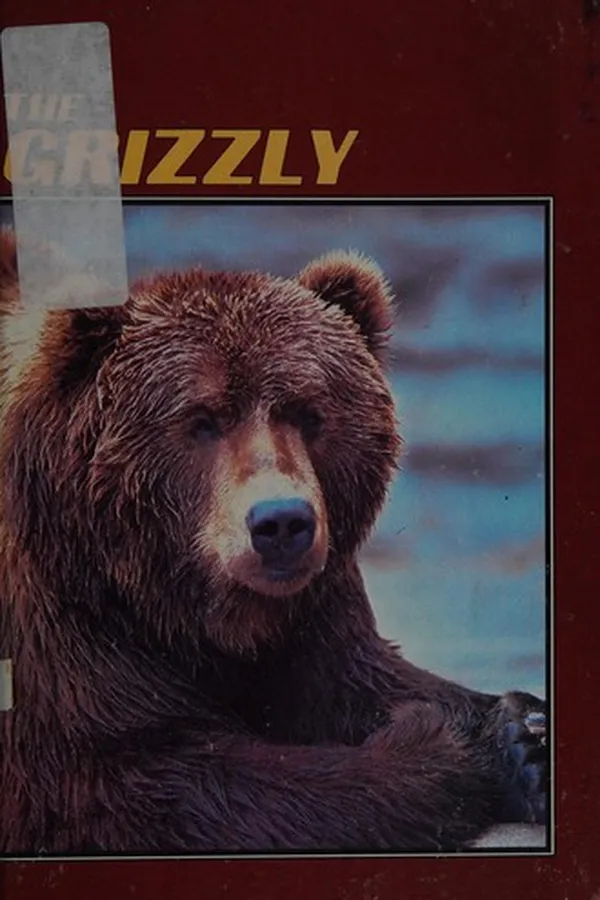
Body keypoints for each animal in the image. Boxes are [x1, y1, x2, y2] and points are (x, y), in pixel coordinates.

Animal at [0, 226, 547, 855]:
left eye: (309, 412)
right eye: (201, 420)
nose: (281, 522)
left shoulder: (311, 607)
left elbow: (355, 677)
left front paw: (524, 731)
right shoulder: (56, 621)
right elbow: (140, 781)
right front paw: (457, 746)